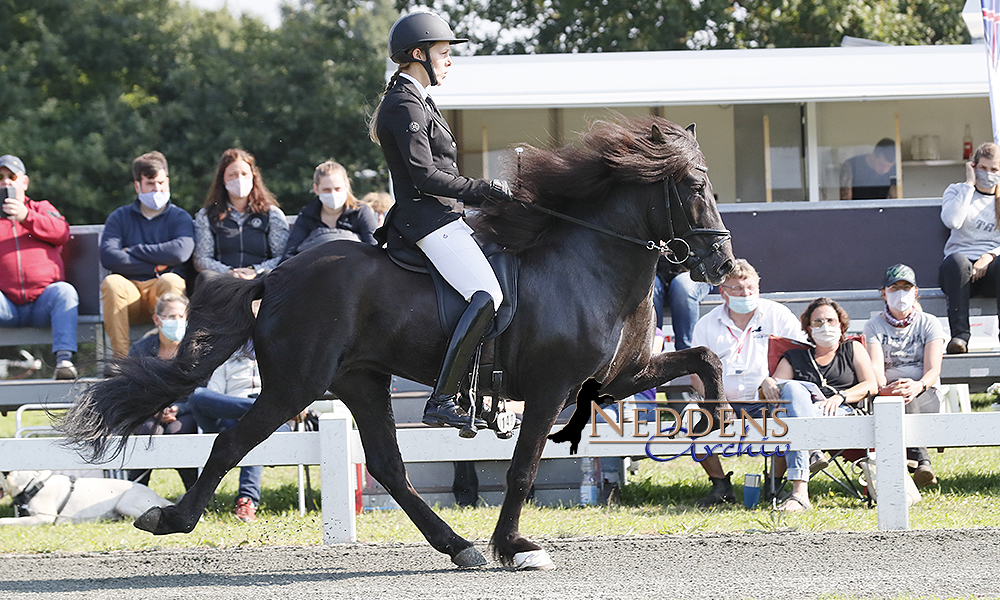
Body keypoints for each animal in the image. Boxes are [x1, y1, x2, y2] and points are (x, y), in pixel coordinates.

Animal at [60, 115, 736, 568]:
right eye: (695, 185)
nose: (721, 265)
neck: (586, 260)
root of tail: (277, 275)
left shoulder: (616, 378)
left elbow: (703, 358)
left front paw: (717, 428)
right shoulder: (551, 389)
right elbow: (522, 470)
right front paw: (515, 546)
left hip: (361, 380)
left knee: (388, 465)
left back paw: (458, 546)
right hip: (294, 386)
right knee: (230, 442)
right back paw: (170, 518)